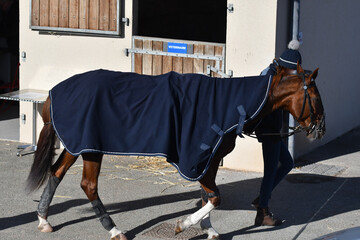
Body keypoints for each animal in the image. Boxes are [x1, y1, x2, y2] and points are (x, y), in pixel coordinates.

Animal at [26, 62, 326, 240]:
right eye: (315, 96)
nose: (320, 129)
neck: (228, 104)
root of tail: (55, 91)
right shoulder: (197, 158)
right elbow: (214, 197)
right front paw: (184, 225)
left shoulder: (207, 159)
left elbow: (208, 196)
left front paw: (210, 230)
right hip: (91, 149)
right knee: (88, 185)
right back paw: (114, 230)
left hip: (77, 145)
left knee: (57, 173)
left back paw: (43, 220)